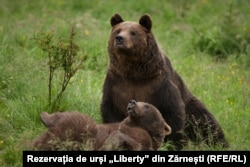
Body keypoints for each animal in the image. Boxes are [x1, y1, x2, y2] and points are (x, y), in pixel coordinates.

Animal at [33, 100, 172, 151]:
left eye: (147, 105)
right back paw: (44, 116)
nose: (132, 101)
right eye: (138, 100)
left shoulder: (144, 138)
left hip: (83, 137)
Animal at [101, 13, 229, 150]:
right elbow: (111, 110)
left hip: (192, 107)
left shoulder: (159, 84)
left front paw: (172, 143)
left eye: (133, 32)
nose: (119, 38)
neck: (134, 72)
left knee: (206, 123)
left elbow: (172, 111)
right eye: (118, 31)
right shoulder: (116, 83)